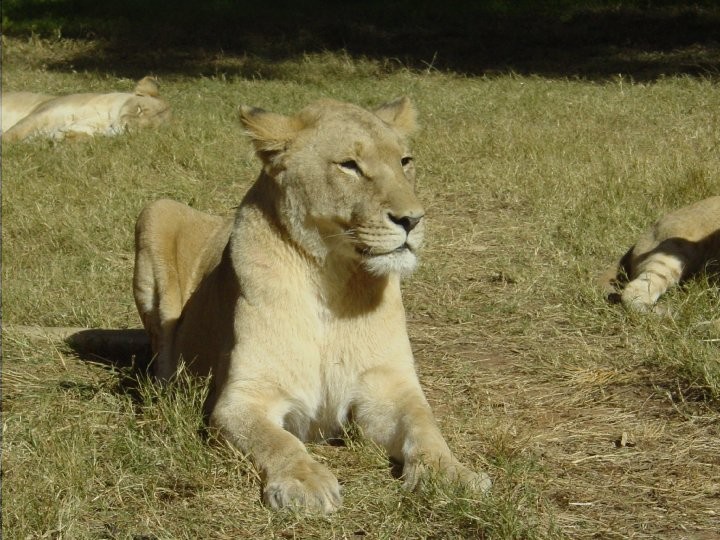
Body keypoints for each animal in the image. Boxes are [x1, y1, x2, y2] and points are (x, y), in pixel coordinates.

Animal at [1, 76, 171, 142]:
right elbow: (15, 133)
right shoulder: (43, 113)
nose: (127, 127)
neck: (105, 120)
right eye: (139, 109)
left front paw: (65, 137)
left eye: (146, 129)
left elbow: (86, 136)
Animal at [133, 97, 491, 513]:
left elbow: (425, 426)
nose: (412, 220)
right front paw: (304, 483)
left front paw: (451, 474)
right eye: (349, 165)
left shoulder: (387, 388)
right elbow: (277, 440)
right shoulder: (241, 398)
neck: (330, 278)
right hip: (155, 212)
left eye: (405, 161)